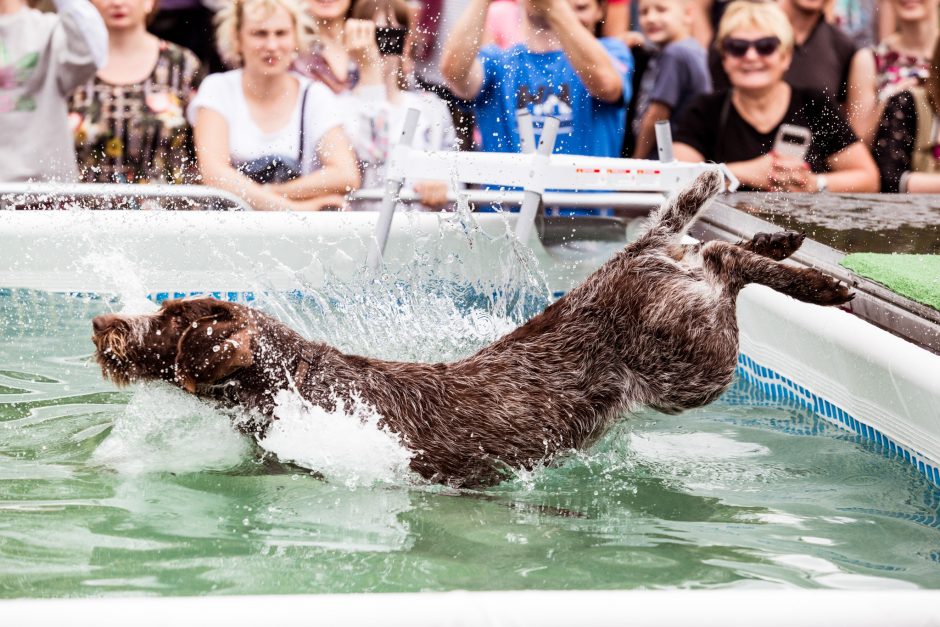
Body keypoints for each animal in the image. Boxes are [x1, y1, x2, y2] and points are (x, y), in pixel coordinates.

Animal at [93, 173, 852, 490]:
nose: (103, 322)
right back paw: (779, 240)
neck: (298, 384)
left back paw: (815, 277)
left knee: (723, 262)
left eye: (171, 319)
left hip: (694, 366)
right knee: (713, 251)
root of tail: (634, 254)